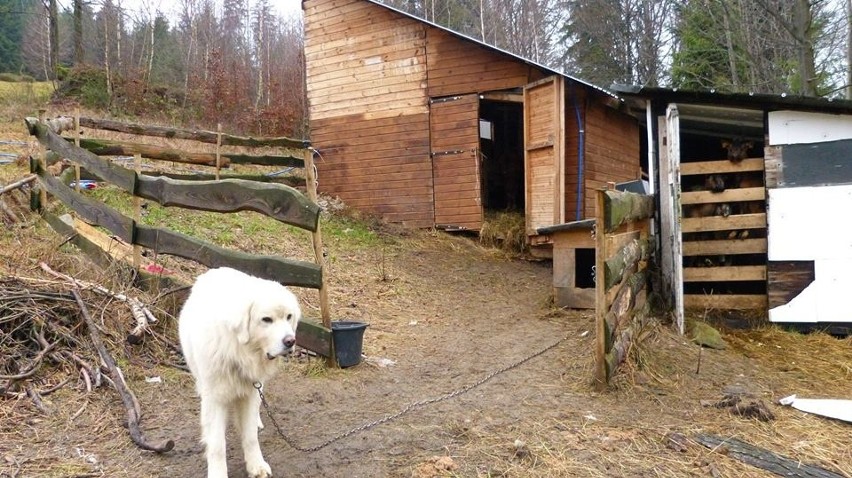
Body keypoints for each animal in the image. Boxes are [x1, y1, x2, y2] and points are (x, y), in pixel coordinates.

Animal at [178, 268, 302, 476]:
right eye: (266, 320)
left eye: (288, 317)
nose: (290, 341)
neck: (237, 351)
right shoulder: (215, 397)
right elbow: (217, 444)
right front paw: (218, 473)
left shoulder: (251, 392)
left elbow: (250, 436)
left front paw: (256, 466)